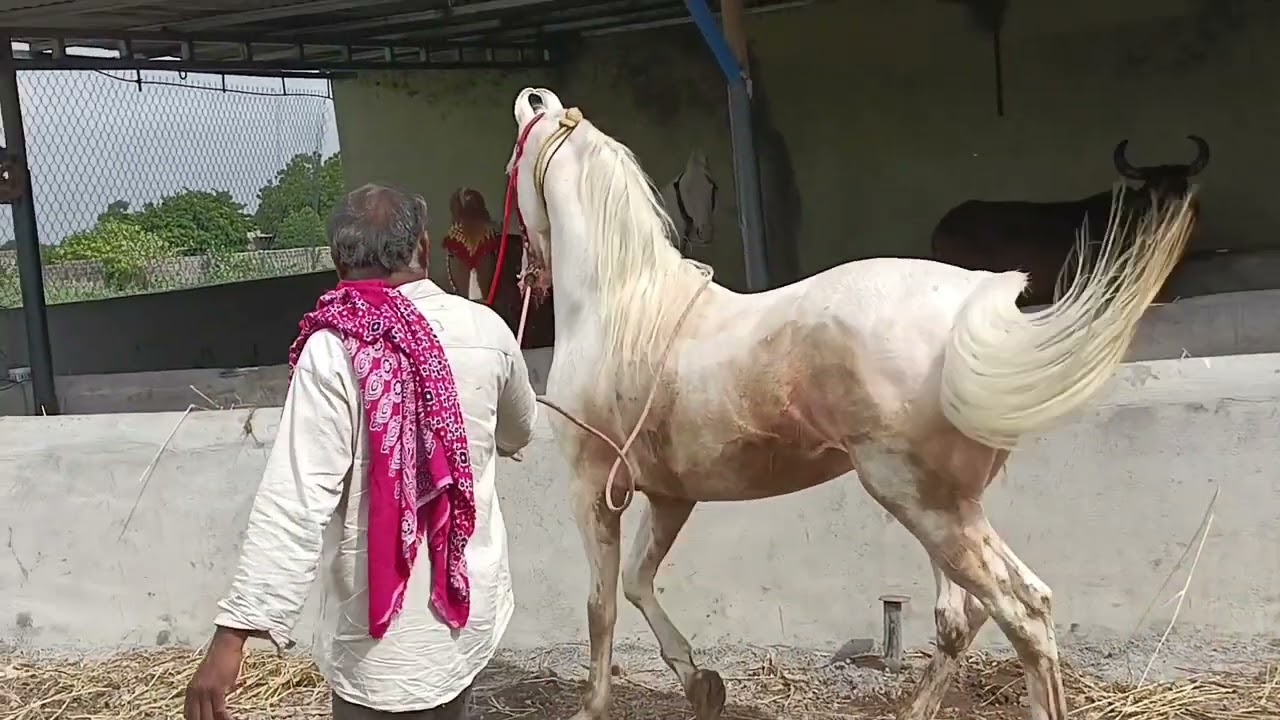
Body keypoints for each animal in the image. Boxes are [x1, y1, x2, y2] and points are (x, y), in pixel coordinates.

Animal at [506, 87, 1194, 720]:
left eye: (512, 164)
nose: (527, 266)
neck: (623, 306)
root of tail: (974, 313)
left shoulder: (592, 487)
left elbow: (600, 603)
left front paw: (594, 705)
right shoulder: (672, 496)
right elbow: (637, 583)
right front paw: (700, 682)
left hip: (923, 503)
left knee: (1018, 612)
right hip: (948, 509)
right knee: (977, 612)